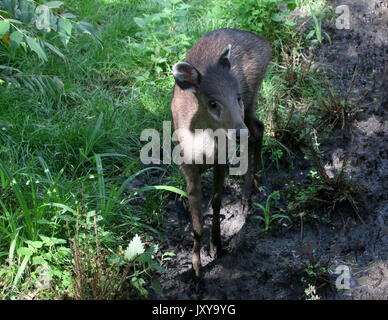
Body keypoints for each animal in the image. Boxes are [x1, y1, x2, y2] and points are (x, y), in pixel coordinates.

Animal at [171, 28, 272, 278]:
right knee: (258, 129)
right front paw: (196, 269)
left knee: (257, 131)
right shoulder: (186, 167)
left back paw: (247, 198)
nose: (238, 132)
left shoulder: (222, 160)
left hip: (252, 96)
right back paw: (255, 183)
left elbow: (217, 202)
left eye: (236, 96)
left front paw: (216, 246)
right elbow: (196, 223)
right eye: (213, 103)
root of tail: (264, 43)